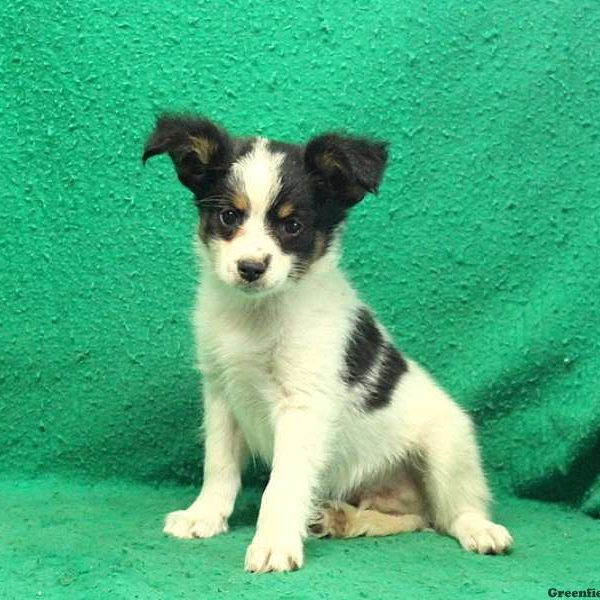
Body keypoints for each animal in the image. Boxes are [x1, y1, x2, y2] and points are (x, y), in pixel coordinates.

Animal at [143, 116, 512, 572]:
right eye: (228, 216)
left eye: (292, 226)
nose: (250, 267)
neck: (258, 315)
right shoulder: (221, 394)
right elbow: (220, 465)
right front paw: (205, 516)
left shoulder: (303, 406)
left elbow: (282, 485)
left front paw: (274, 543)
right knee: (415, 517)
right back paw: (343, 519)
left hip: (448, 447)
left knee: (448, 514)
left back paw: (478, 529)